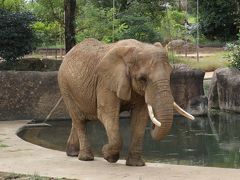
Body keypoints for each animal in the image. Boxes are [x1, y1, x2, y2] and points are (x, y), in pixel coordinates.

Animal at [57, 38, 193, 166]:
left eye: (170, 74)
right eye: (143, 79)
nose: (153, 127)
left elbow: (140, 117)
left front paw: (136, 165)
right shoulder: (106, 82)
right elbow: (107, 114)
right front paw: (107, 155)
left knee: (79, 120)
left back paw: (73, 153)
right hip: (65, 86)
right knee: (79, 120)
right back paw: (86, 158)